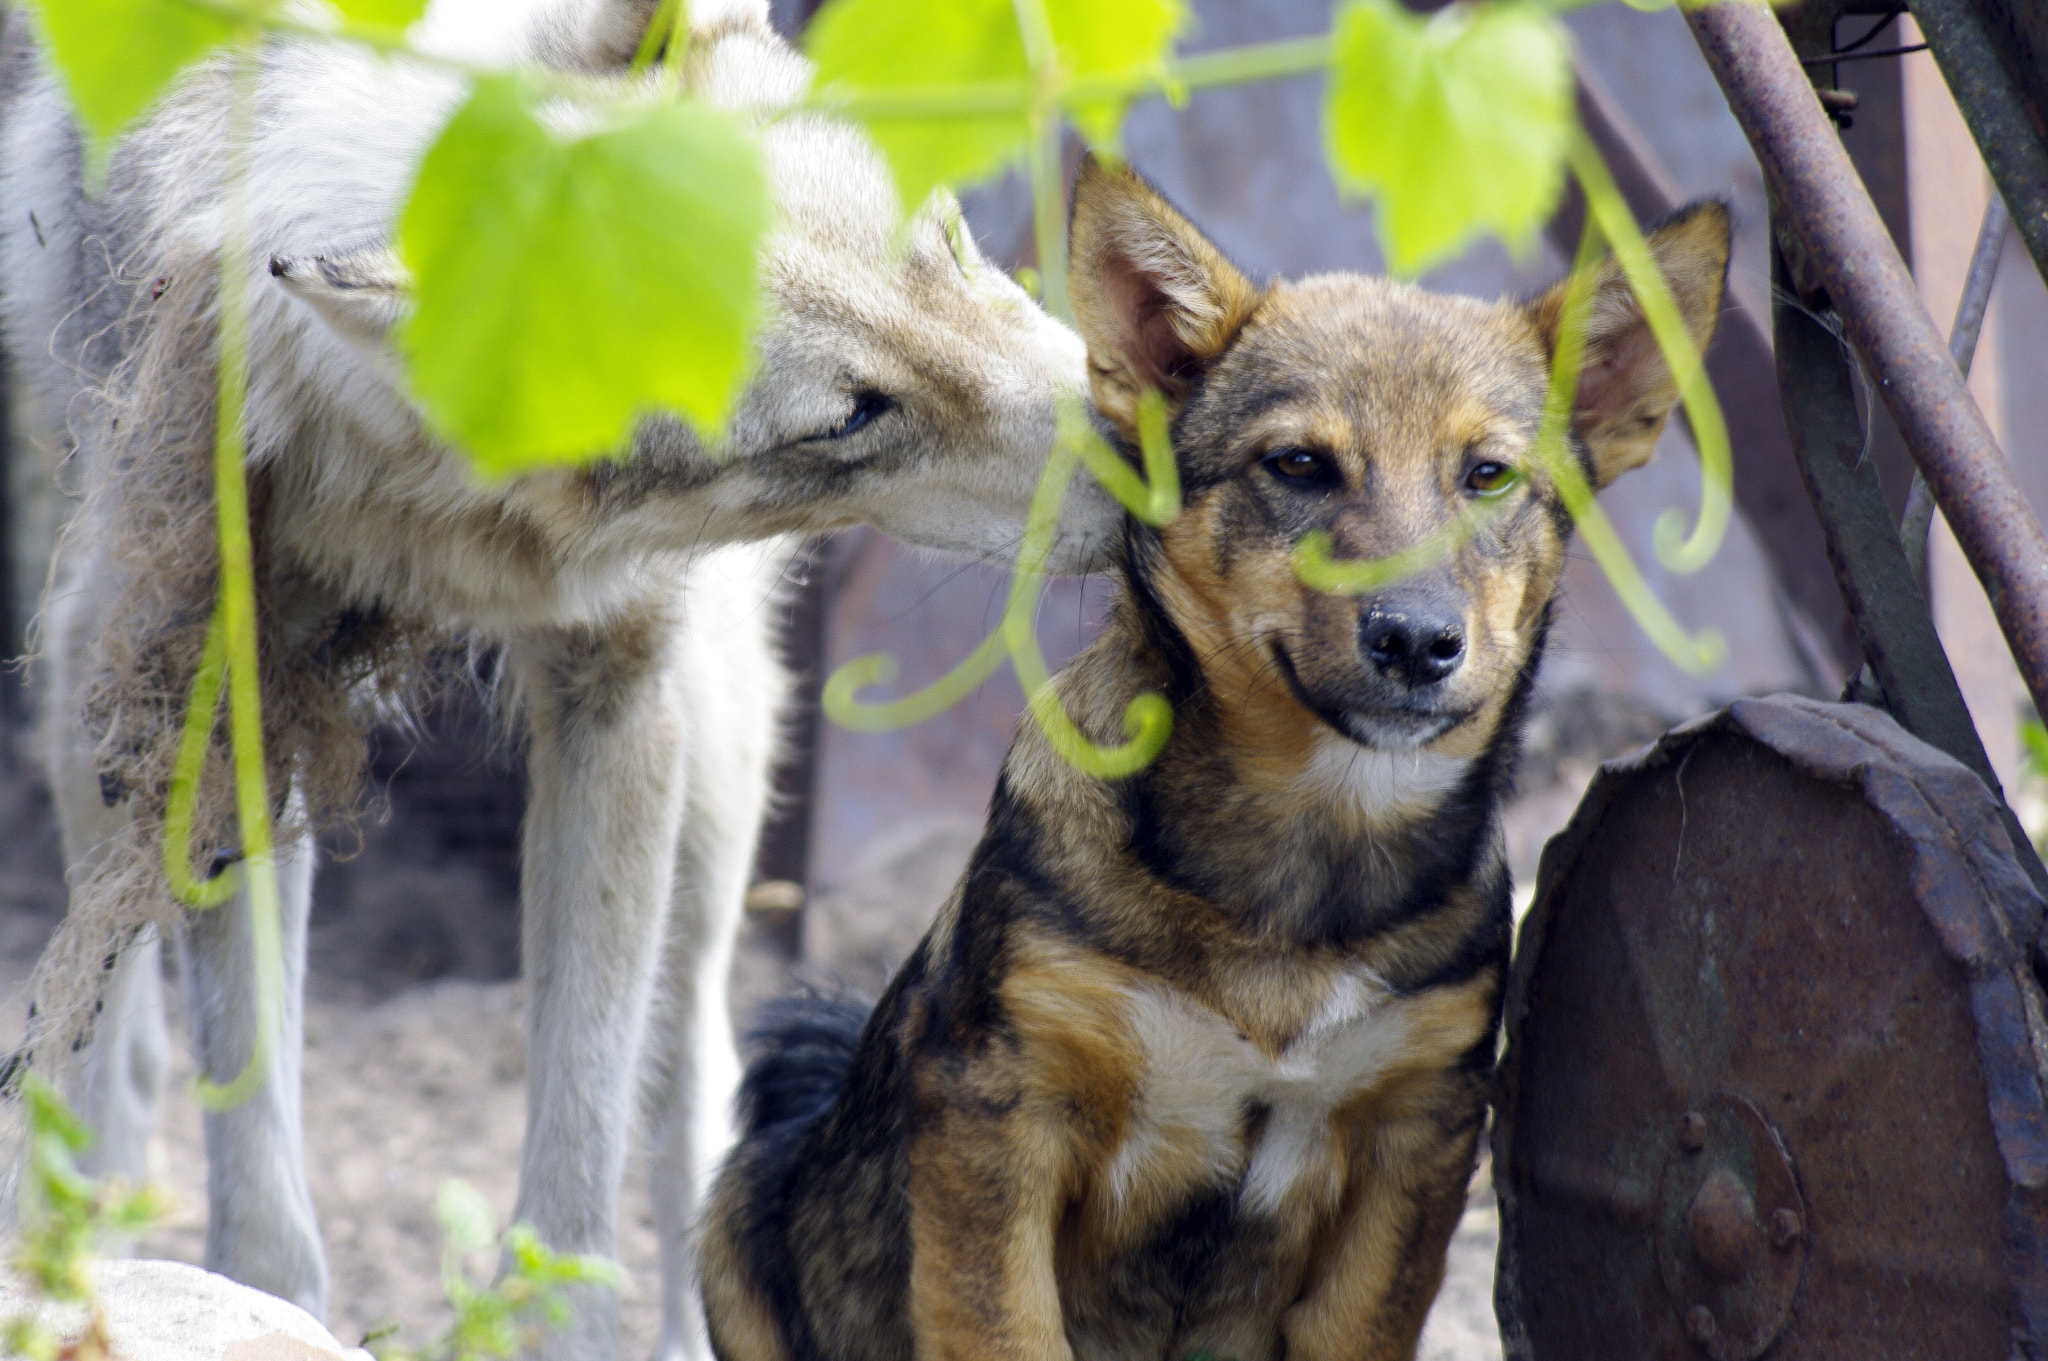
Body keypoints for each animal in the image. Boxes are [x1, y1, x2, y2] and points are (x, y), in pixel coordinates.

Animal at [0, 2, 1114, 1350]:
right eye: (850, 416)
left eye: (943, 234)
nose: (1168, 453)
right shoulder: (247, 707)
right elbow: (257, 1158)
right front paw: (256, 1296)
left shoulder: (620, 680)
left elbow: (579, 1160)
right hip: (92, 659)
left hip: (718, 745)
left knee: (694, 1070)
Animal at [704, 153, 1728, 1350]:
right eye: (1297, 464)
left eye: (1487, 476)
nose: (1417, 643)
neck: (1298, 853)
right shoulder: (999, 1102)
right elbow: (1003, 1325)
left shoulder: (1416, 1133)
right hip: (734, 1221)